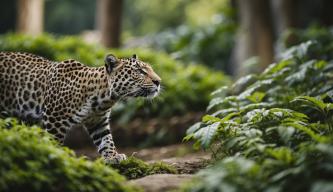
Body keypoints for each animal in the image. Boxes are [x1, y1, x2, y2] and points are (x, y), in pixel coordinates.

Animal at [0, 51, 161, 164]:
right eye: (140, 71)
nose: (158, 81)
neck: (103, 98)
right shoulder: (54, 118)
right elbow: (53, 141)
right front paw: (56, 156)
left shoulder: (98, 122)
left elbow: (106, 140)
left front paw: (112, 156)